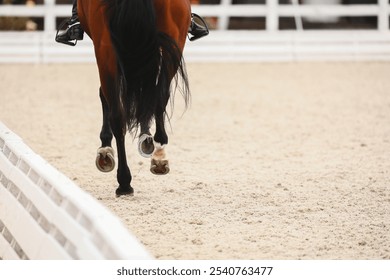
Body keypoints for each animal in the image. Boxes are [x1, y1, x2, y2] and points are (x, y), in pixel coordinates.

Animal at [77, 0, 190, 196]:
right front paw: (146, 139)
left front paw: (106, 145)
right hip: (173, 39)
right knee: (156, 98)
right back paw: (154, 159)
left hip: (106, 49)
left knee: (121, 111)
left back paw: (125, 179)